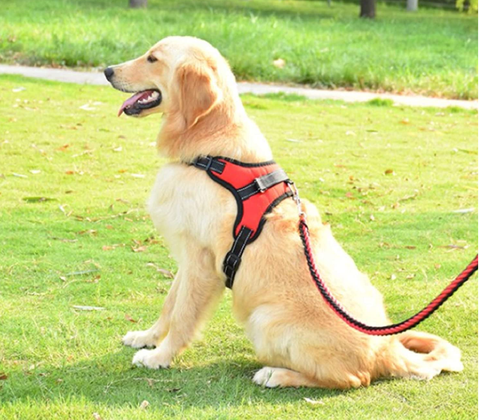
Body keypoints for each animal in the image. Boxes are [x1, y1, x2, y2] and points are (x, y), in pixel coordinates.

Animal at [104, 36, 463, 389]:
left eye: (153, 59)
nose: (107, 70)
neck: (211, 151)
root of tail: (386, 349)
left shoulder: (202, 263)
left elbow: (182, 316)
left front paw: (159, 357)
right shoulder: (188, 257)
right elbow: (169, 305)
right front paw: (147, 337)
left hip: (264, 318)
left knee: (351, 379)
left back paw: (276, 374)